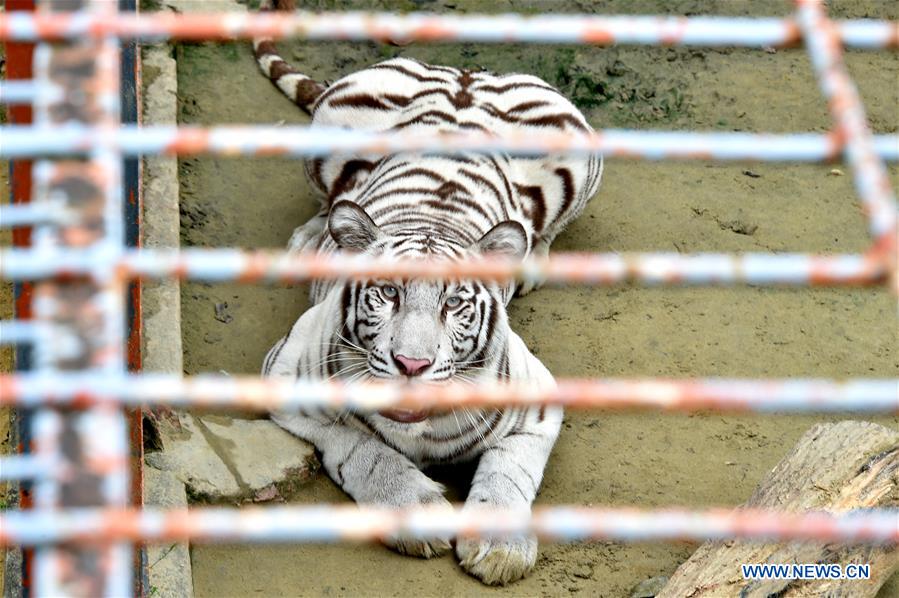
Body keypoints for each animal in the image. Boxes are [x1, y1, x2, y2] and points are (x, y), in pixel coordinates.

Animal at [256, 0, 602, 586]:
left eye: (454, 303)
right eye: (386, 295)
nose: (411, 365)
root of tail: (465, 75)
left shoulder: (538, 406)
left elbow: (509, 473)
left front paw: (501, 549)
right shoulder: (287, 379)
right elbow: (364, 450)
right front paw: (418, 512)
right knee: (330, 203)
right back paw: (308, 242)